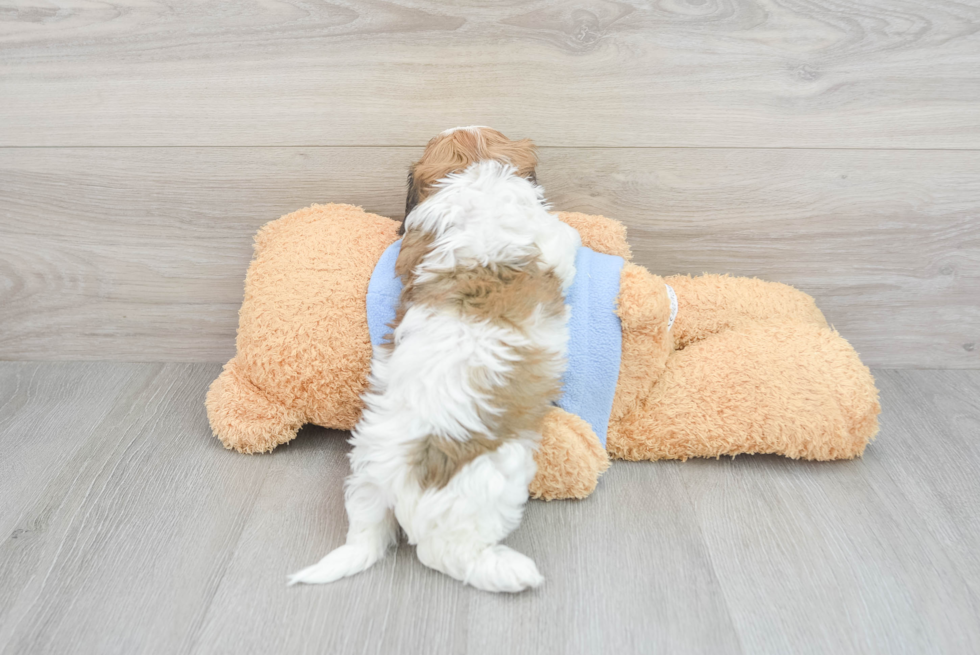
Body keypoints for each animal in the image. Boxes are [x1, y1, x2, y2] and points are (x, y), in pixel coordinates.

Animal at [290, 128, 580, 596]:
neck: (476, 180)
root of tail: (391, 479)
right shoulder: (552, 243)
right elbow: (568, 236)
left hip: (364, 478)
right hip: (485, 489)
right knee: (445, 553)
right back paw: (512, 571)